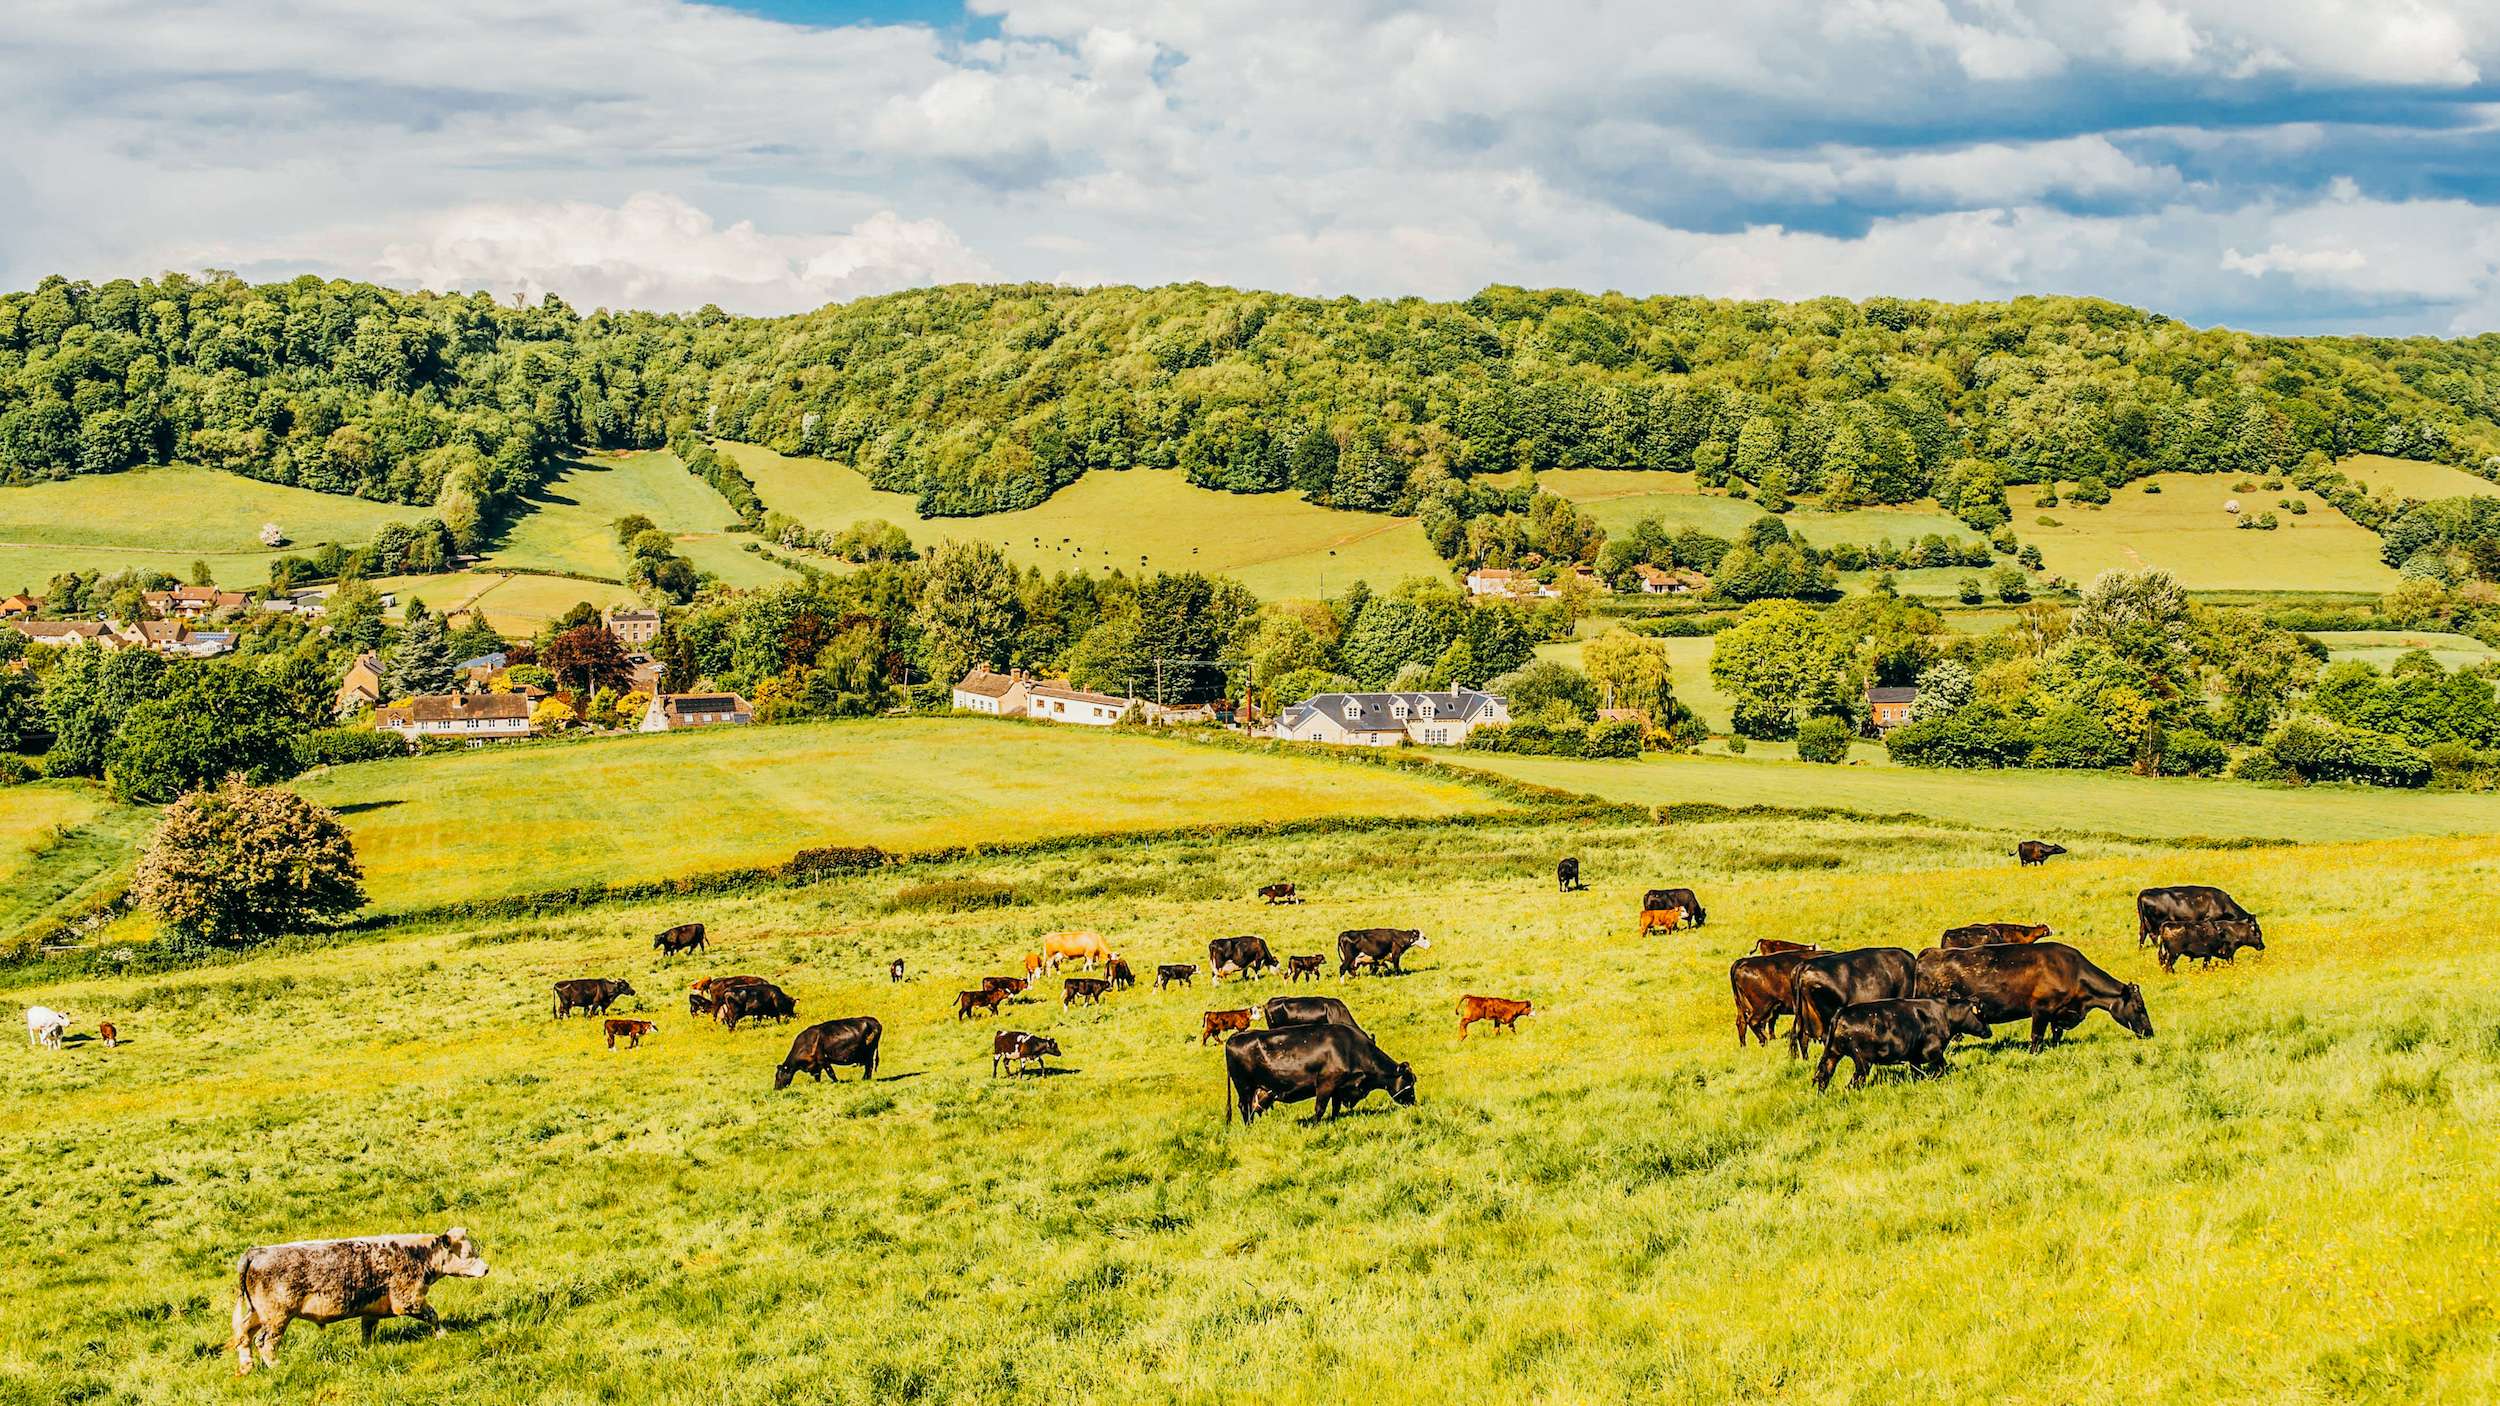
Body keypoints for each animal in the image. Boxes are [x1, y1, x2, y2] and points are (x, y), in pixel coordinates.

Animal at [232, 1225, 490, 1370]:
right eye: (468, 1253)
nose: (486, 1268)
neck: (418, 1254)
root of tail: (256, 1251)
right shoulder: (408, 1300)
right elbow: (433, 1315)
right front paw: (443, 1335)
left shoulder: (371, 1310)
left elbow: (367, 1330)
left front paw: (367, 1350)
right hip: (277, 1316)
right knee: (264, 1341)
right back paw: (276, 1366)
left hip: (256, 1313)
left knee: (243, 1335)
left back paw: (247, 1367)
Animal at [1225, 1010, 1420, 1120]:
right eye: (1409, 1083)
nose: (1414, 1103)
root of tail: (1235, 1037)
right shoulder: (1326, 1083)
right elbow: (1320, 1108)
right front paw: (1314, 1124)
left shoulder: (1339, 1087)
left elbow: (1336, 1107)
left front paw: (1334, 1121)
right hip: (1244, 1086)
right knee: (1244, 1107)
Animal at [1820, 990, 1990, 1090]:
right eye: (1982, 1014)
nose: (1989, 1032)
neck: (1944, 1013)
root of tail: (1843, 1011)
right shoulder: (1933, 1051)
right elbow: (1942, 1068)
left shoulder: (1914, 1056)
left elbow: (1917, 1072)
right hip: (1862, 1061)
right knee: (1853, 1083)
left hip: (1833, 1054)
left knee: (1823, 1075)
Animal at [1910, 935, 2150, 1045]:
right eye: (2139, 1006)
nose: (2150, 1032)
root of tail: (1930, 953)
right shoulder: (2041, 1009)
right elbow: (2037, 1036)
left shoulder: (2058, 1012)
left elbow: (2056, 1033)